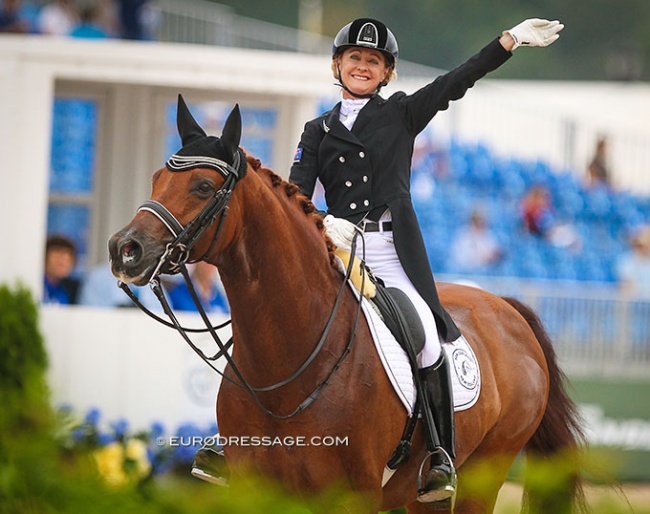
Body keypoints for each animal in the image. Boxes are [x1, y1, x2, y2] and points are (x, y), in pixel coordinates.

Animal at [109, 97, 584, 512]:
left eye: (204, 186)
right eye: (155, 180)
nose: (124, 250)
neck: (286, 363)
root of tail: (506, 308)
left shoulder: (351, 497)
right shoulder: (254, 491)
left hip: (485, 473)